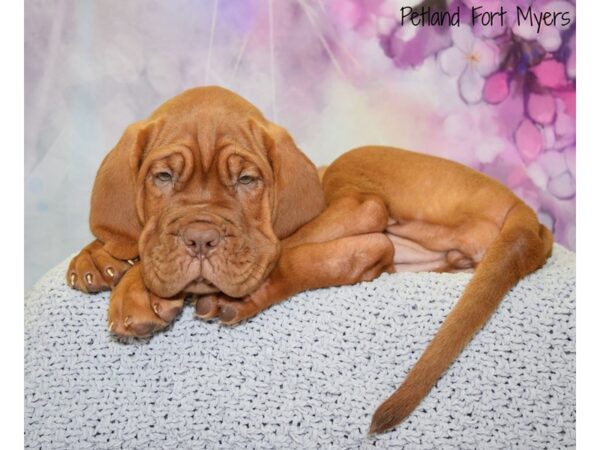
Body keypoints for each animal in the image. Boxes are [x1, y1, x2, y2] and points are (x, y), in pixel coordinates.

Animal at [65, 86, 552, 434]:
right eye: (163, 177)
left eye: (247, 180)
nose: (201, 238)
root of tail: (527, 215)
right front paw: (99, 258)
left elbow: (272, 251)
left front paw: (138, 289)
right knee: (372, 250)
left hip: (354, 172)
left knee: (361, 239)